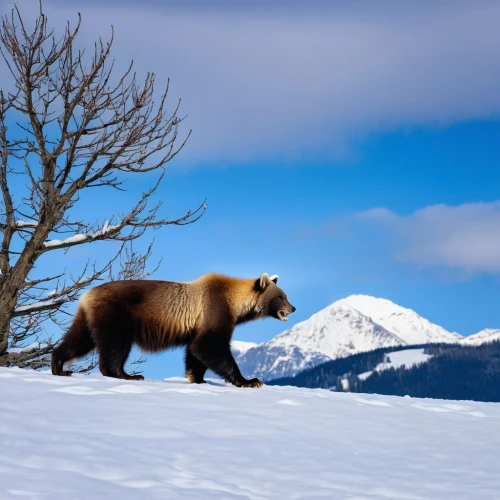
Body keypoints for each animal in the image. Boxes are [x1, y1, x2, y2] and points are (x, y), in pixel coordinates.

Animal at [50, 274, 294, 386]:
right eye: (280, 296)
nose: (293, 307)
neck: (233, 302)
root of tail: (86, 294)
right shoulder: (215, 311)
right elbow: (210, 346)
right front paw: (250, 381)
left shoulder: (197, 325)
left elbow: (194, 351)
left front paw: (197, 378)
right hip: (117, 315)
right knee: (115, 346)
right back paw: (128, 374)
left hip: (90, 317)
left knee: (79, 340)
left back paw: (59, 366)